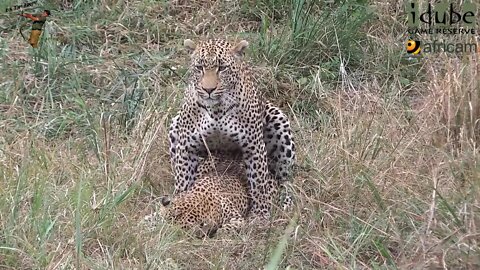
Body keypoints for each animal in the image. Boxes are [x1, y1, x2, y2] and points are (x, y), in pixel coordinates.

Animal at [169, 38, 296, 216]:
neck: (216, 110)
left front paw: (260, 215)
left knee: (283, 179)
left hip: (278, 121)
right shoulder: (187, 147)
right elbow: (183, 180)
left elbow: (259, 183)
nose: (208, 89)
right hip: (175, 125)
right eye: (199, 67)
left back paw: (286, 200)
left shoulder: (254, 146)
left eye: (222, 68)